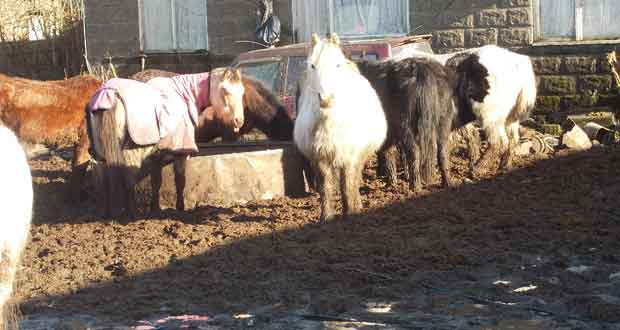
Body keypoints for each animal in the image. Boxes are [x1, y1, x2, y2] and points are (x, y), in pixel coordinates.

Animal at [89, 67, 245, 217]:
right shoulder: (180, 153)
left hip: (102, 152)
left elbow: (156, 182)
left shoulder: (156, 156)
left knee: (105, 178)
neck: (182, 94)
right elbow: (180, 180)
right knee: (128, 179)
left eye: (242, 92)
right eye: (225, 90)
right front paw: (180, 207)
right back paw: (131, 212)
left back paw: (108, 212)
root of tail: (111, 95)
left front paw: (155, 208)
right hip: (130, 153)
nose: (239, 121)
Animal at [296, 33, 388, 223]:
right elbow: (326, 188)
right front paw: (326, 217)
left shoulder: (350, 158)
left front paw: (351, 212)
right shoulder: (320, 158)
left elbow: (348, 186)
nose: (326, 99)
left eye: (337, 65)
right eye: (312, 65)